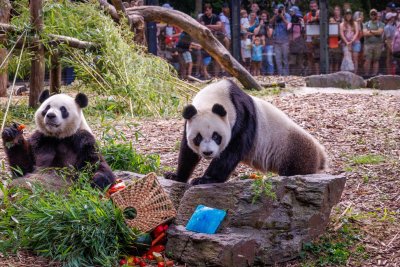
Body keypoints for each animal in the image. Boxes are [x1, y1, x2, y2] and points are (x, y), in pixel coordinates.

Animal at [164, 79, 326, 186]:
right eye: (198, 138)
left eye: (216, 136)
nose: (208, 153)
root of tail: (321, 155)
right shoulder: (190, 120)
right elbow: (187, 151)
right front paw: (175, 176)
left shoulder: (243, 116)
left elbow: (232, 150)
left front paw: (205, 179)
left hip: (294, 150)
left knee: (297, 168)